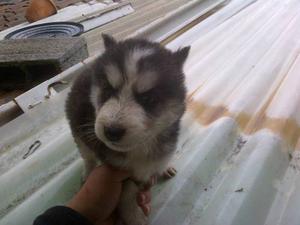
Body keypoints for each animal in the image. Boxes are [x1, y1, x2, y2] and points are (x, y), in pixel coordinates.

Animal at [65, 33, 190, 225]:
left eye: (149, 99)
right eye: (107, 91)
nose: (111, 131)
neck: (141, 147)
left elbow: (160, 161)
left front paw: (164, 167)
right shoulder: (116, 170)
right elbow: (127, 191)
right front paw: (134, 216)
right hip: (78, 127)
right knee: (87, 156)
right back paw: (88, 173)